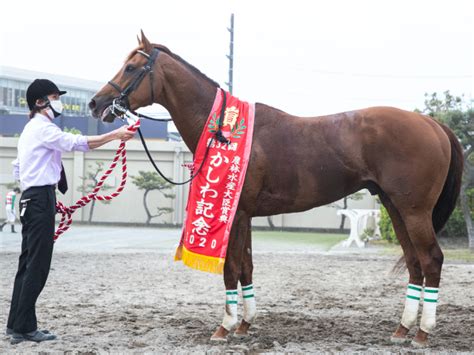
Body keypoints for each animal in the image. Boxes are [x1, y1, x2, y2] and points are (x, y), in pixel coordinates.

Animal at [90, 32, 462, 348]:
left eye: (131, 67)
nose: (96, 103)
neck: (224, 129)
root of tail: (431, 123)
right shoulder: (246, 216)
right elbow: (246, 267)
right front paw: (245, 324)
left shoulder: (237, 213)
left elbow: (231, 268)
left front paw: (225, 327)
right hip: (395, 207)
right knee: (414, 263)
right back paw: (402, 328)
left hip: (414, 211)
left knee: (431, 260)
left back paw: (423, 333)